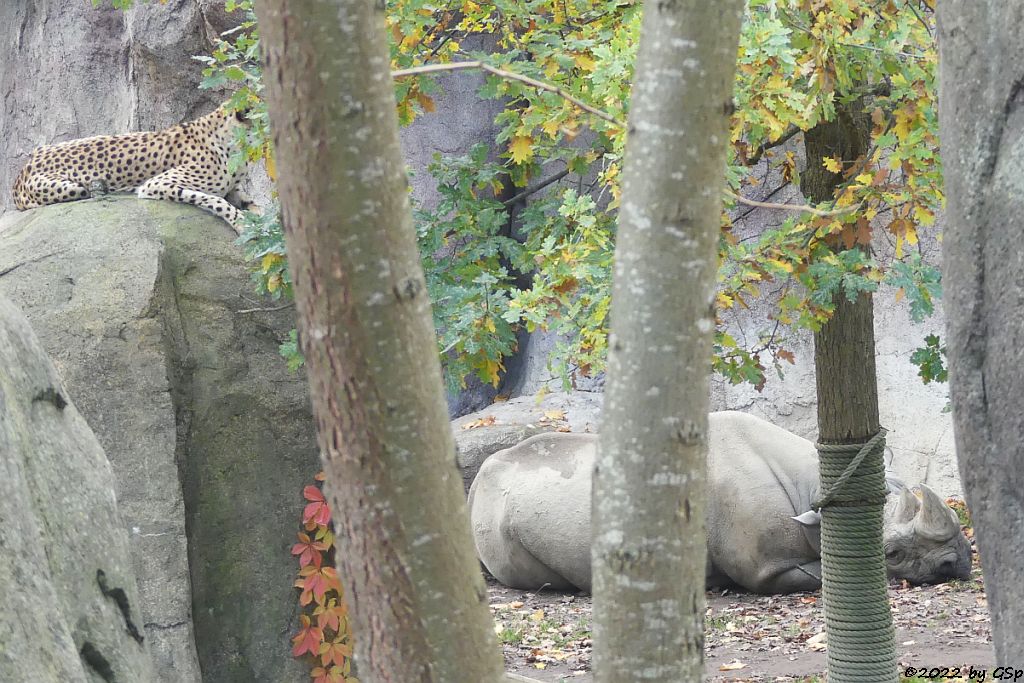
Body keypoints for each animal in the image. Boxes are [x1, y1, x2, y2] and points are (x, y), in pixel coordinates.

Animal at [13, 103, 251, 235]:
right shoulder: (156, 184)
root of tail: (23, 169)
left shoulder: (235, 189)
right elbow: (215, 200)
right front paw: (241, 223)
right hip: (72, 188)